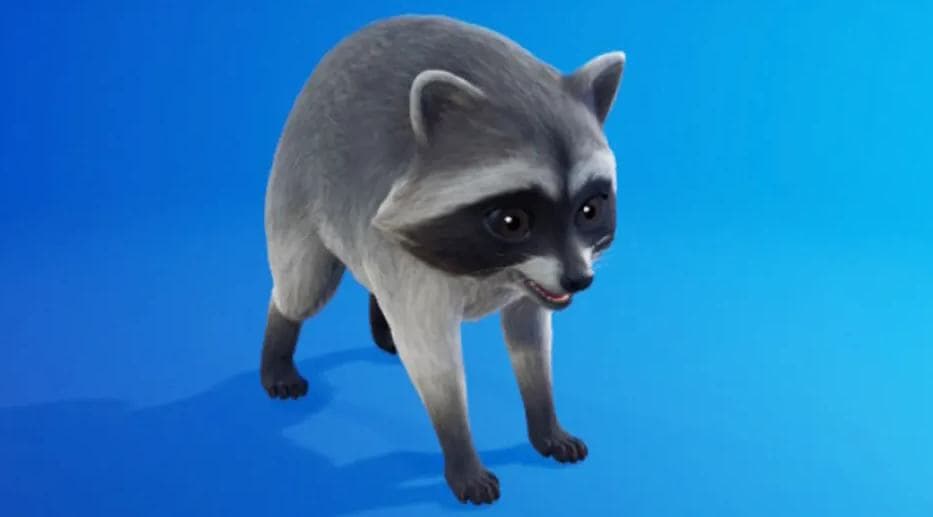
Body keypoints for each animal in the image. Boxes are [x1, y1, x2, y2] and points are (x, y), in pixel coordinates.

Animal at [261, 15, 625, 504]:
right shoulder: (412, 264)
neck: (493, 269)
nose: (579, 280)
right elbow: (436, 363)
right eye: (511, 221)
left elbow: (531, 342)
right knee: (302, 285)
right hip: (297, 183)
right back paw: (278, 348)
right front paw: (461, 453)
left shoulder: (535, 283)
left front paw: (545, 420)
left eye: (589, 210)